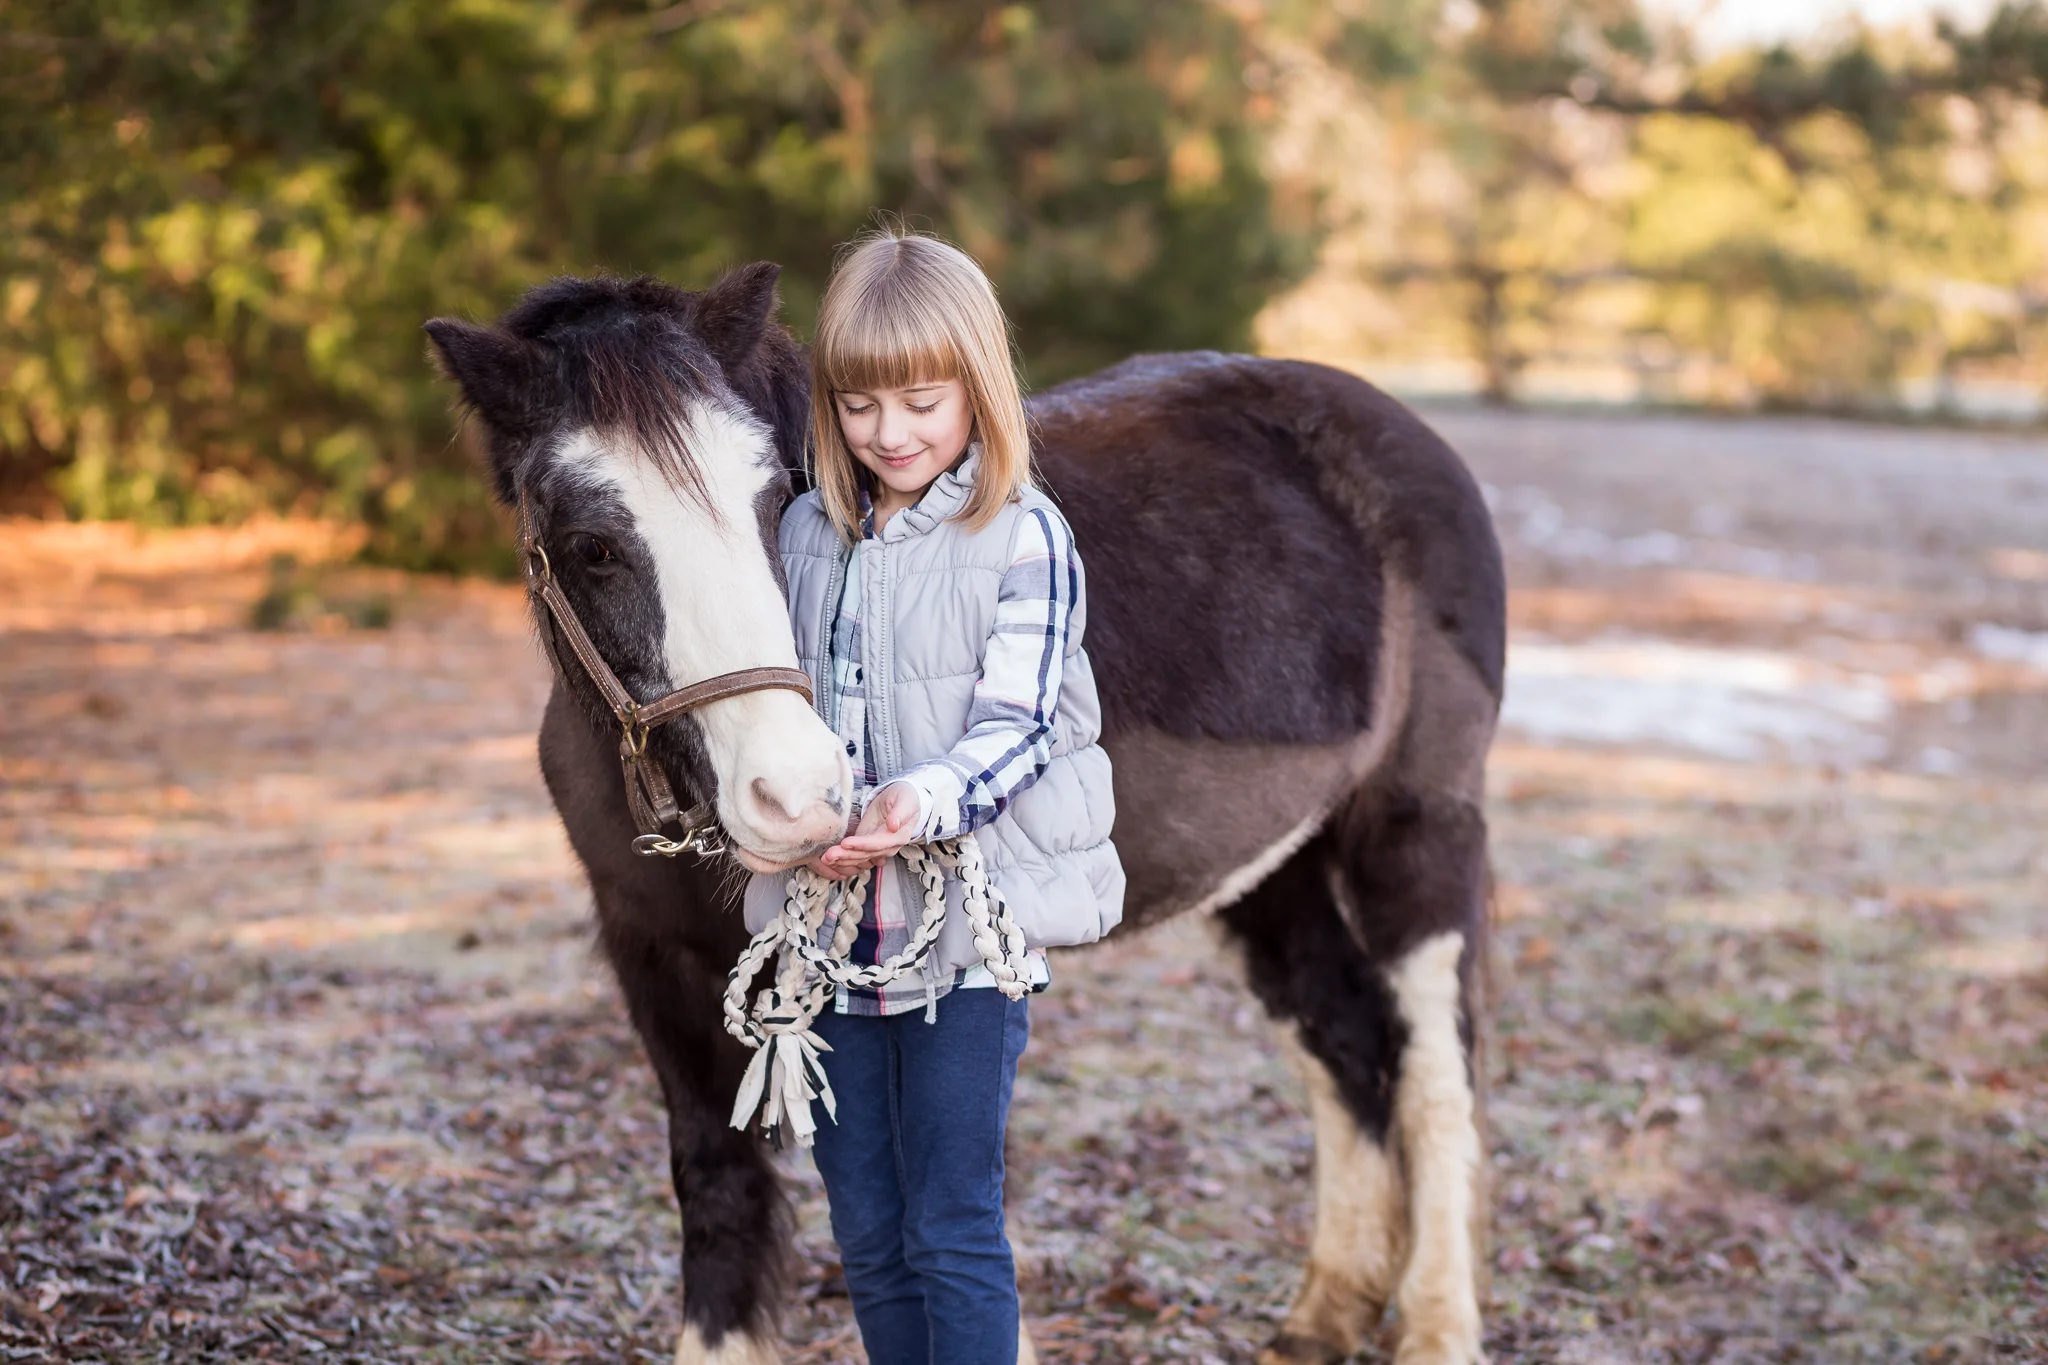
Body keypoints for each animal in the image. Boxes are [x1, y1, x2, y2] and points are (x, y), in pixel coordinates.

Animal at [425, 262, 1505, 1365]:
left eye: (772, 495)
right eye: (592, 546)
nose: (798, 795)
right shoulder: (651, 952)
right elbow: (718, 1183)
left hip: (1415, 831)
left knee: (1436, 1071)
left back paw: (1434, 1327)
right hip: (1274, 872)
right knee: (1348, 1041)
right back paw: (1324, 1314)